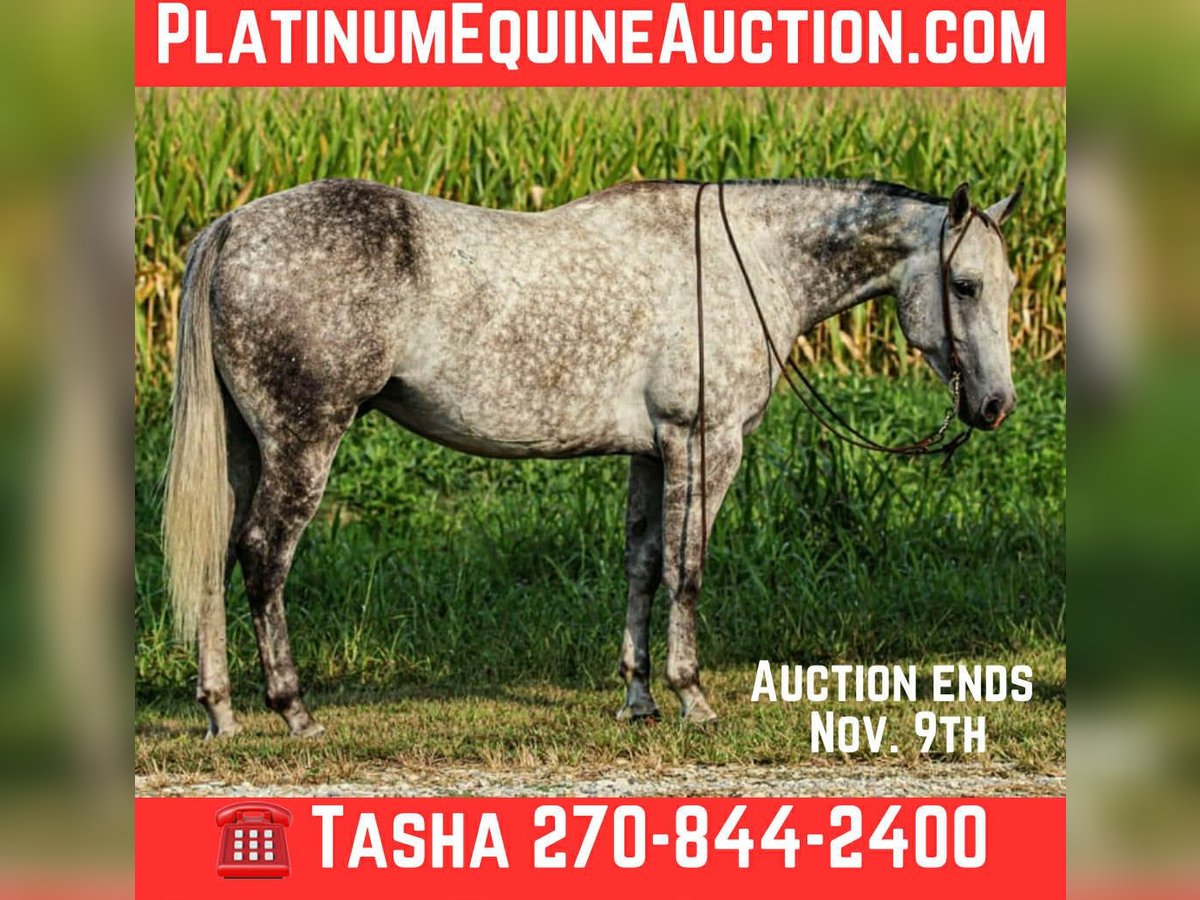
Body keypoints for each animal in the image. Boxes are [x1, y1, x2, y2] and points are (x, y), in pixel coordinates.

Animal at [163, 176, 1022, 738]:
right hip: (304, 441)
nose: (994, 406)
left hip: (245, 449)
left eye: (1009, 285)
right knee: (263, 558)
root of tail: (232, 226)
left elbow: (642, 566)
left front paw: (639, 699)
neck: (745, 263)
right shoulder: (706, 444)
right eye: (965, 284)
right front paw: (692, 696)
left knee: (213, 556)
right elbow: (687, 570)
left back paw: (221, 712)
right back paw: (293, 710)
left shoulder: (653, 452)